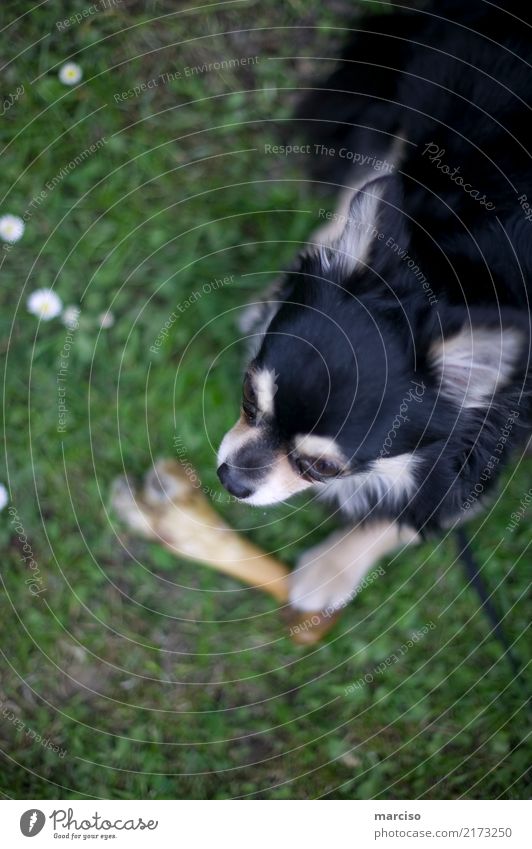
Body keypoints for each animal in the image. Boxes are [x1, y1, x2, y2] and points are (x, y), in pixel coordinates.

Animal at [217, 0, 532, 608]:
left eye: (320, 467)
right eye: (248, 398)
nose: (231, 480)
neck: (450, 276)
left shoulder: (489, 441)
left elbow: (412, 513)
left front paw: (328, 573)